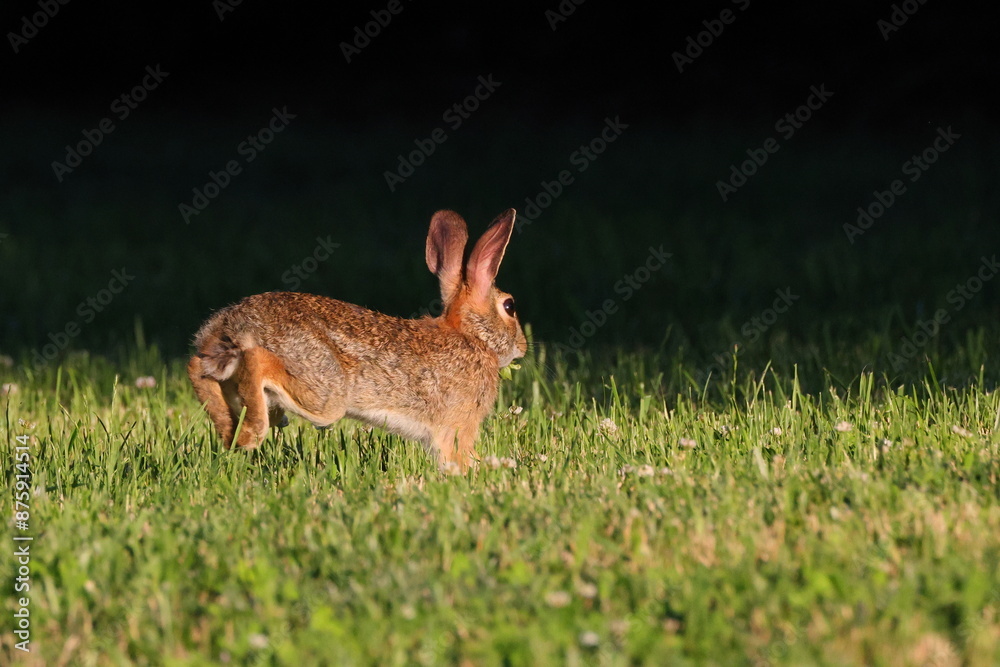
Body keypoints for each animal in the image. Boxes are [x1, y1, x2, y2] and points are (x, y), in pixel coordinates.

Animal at [187, 208, 526, 470]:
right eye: (510, 306)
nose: (523, 347)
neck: (472, 335)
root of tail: (235, 323)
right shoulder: (458, 426)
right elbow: (458, 456)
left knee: (197, 366)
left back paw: (231, 433)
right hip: (323, 390)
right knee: (257, 362)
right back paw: (251, 435)